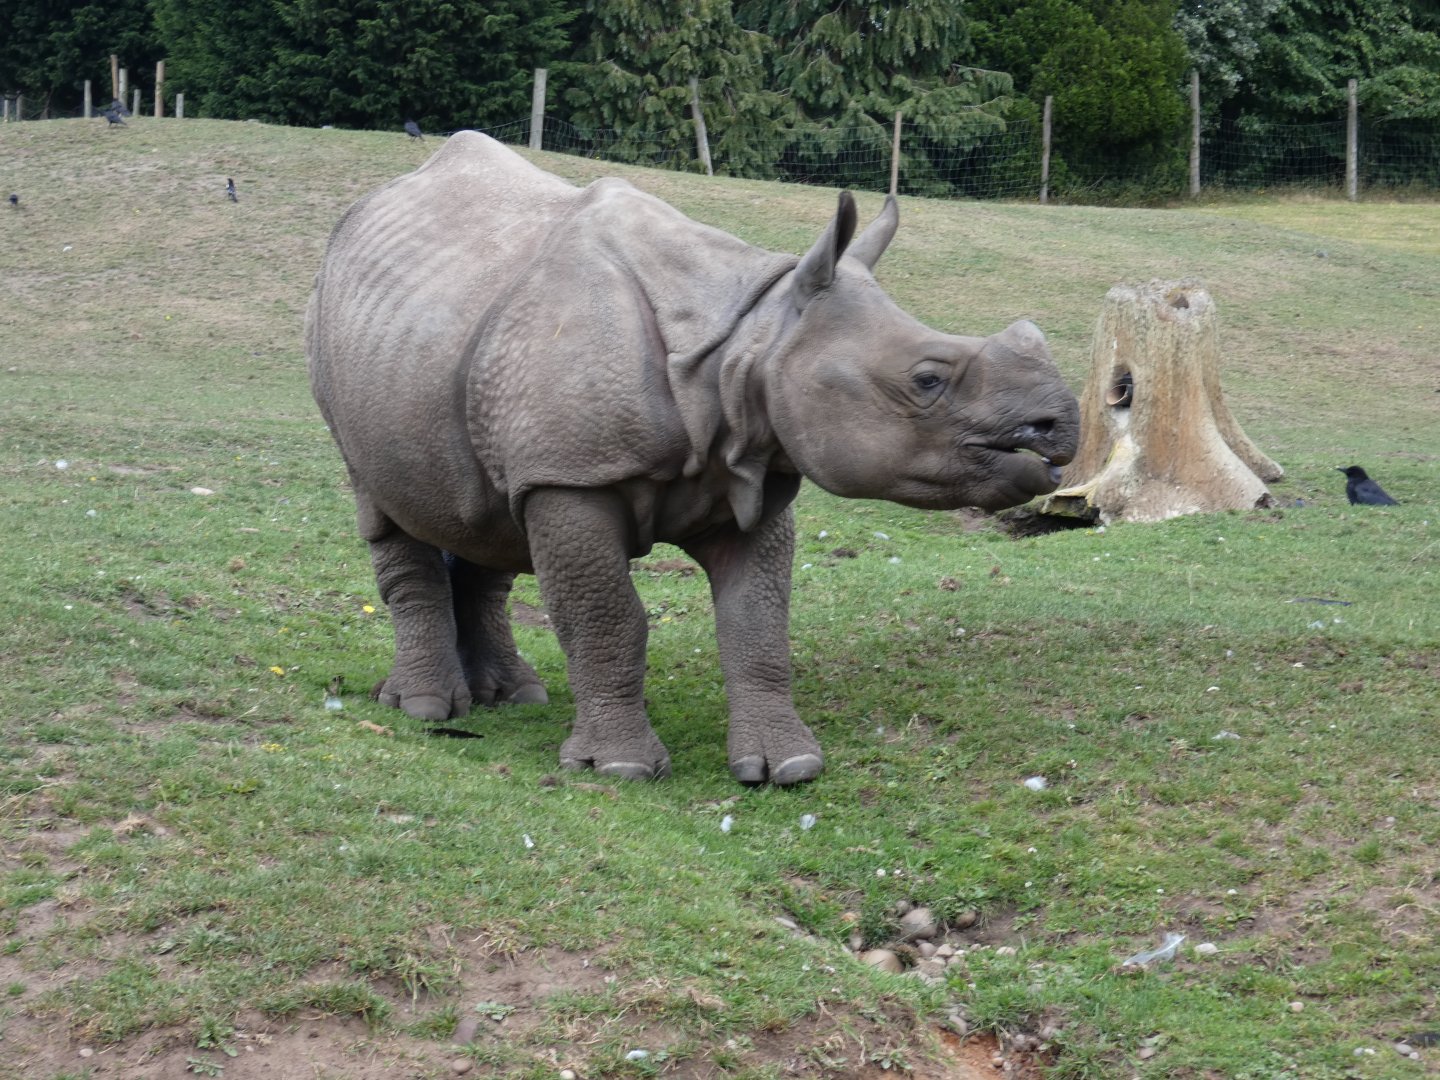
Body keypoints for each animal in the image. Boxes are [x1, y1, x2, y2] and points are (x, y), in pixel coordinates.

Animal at [306, 131, 1078, 785]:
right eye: (926, 379)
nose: (1059, 428)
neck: (753, 341)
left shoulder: (753, 470)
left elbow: (758, 623)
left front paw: (787, 767)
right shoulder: (571, 476)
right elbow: (606, 614)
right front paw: (619, 769)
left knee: (488, 515)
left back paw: (515, 696)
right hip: (332, 334)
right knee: (381, 500)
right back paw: (426, 709)